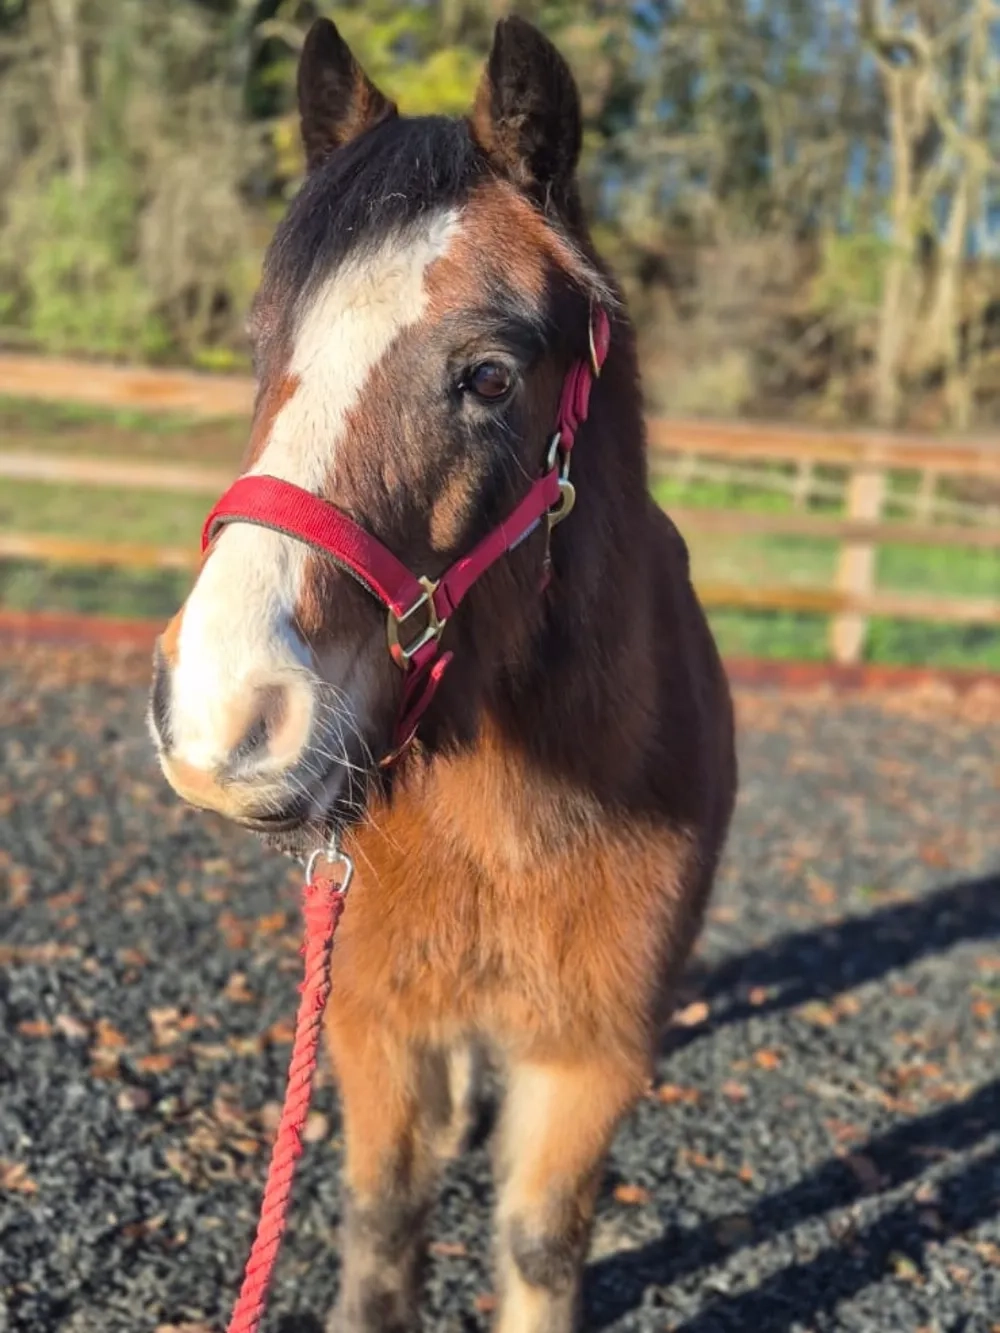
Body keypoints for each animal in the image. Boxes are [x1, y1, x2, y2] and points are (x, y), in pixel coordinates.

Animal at [149, 15, 737, 1332]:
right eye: (263, 346)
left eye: (489, 376)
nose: (222, 717)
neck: (513, 801)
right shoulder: (375, 1020)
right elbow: (382, 1234)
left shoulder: (590, 1054)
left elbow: (536, 1246)